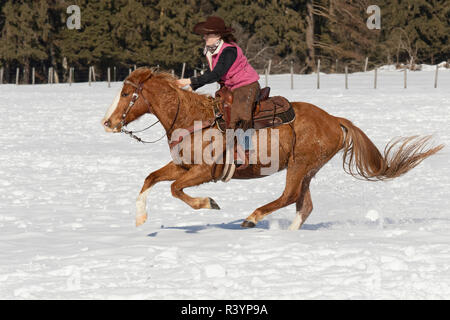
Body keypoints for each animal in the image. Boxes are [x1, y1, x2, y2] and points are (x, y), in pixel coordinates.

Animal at [101, 67, 442, 229]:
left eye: (126, 94)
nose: (108, 122)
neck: (193, 119)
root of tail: (334, 120)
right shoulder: (182, 166)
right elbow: (150, 179)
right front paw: (141, 219)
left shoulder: (203, 172)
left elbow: (175, 189)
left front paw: (209, 203)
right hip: (307, 170)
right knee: (304, 205)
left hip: (300, 165)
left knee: (289, 197)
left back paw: (252, 218)